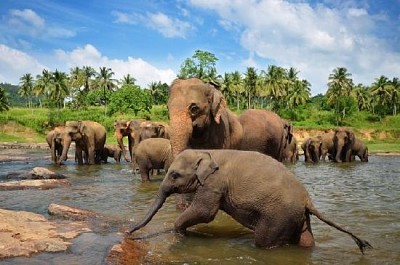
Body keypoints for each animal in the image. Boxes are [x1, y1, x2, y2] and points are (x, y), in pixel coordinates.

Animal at [127, 147, 372, 253]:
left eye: (174, 175)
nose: (128, 233)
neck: (206, 151)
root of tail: (307, 200)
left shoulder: (214, 183)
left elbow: (205, 213)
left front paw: (180, 232)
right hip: (298, 218)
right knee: (306, 241)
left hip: (278, 216)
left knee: (265, 241)